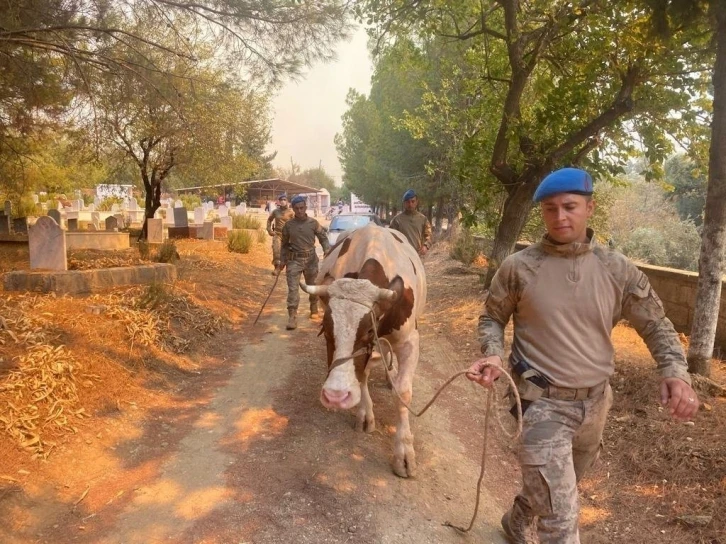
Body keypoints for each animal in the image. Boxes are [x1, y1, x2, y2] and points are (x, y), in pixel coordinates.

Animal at [300, 223, 426, 478]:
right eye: (326, 329)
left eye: (368, 329)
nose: (335, 397)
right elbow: (362, 375)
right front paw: (365, 414)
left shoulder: (409, 341)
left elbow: (403, 393)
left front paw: (404, 452)